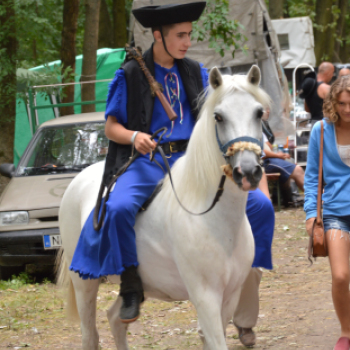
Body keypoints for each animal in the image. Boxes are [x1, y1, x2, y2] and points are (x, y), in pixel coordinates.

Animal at [56, 66, 270, 350]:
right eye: (218, 116)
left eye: (258, 112)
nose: (247, 172)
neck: (210, 215)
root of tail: (76, 182)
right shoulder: (206, 297)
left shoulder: (230, 295)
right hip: (84, 284)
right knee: (90, 335)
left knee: (115, 318)